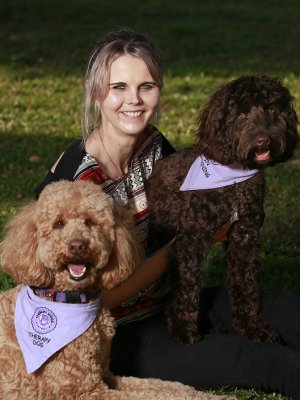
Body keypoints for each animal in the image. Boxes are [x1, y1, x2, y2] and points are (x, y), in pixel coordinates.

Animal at [0, 180, 234, 398]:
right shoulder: (86, 391)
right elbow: (156, 395)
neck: (64, 298)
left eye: (90, 222)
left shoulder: (107, 374)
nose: (77, 245)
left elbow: (164, 386)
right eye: (58, 223)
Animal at [146, 75, 298, 344]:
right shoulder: (189, 240)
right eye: (241, 114)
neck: (234, 180)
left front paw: (252, 327)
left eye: (271, 109)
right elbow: (186, 286)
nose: (263, 140)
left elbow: (246, 285)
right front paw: (184, 329)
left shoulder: (244, 237)